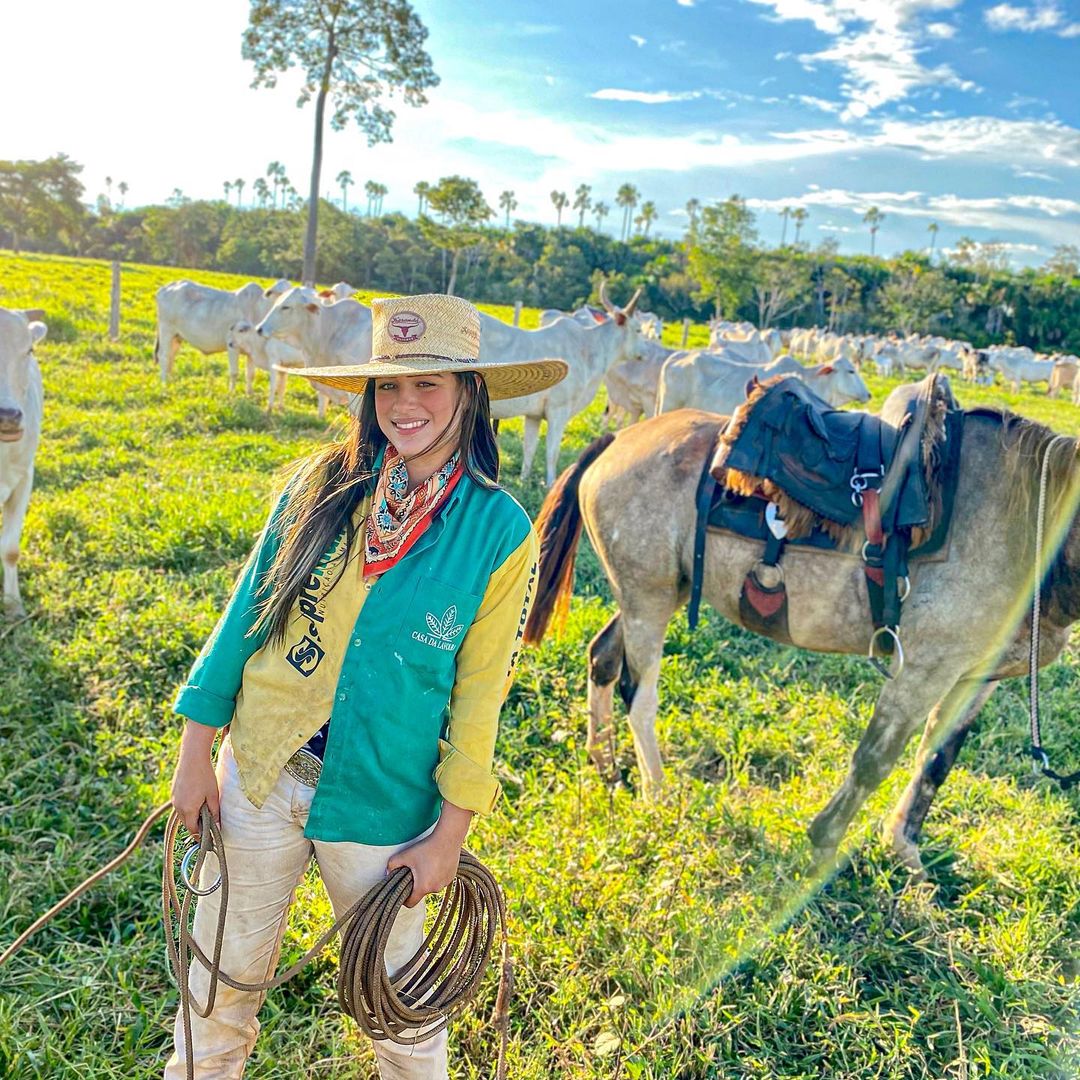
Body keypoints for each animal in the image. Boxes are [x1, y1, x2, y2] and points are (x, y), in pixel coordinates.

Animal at [156, 278, 291, 393]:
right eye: (280, 294)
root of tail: (166, 287)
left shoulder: (252, 351)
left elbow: (250, 374)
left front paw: (250, 394)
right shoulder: (232, 345)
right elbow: (234, 372)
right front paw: (231, 394)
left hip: (176, 337)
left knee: (171, 357)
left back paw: (170, 381)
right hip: (166, 330)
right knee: (164, 357)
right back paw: (164, 384)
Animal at [488, 282, 643, 481]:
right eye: (638, 329)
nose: (643, 353)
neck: (589, 350)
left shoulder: (533, 415)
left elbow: (529, 447)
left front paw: (523, 478)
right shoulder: (558, 409)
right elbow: (552, 451)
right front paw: (550, 482)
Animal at [522, 401, 1080, 872]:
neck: (1025, 524)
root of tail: (617, 439)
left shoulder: (977, 675)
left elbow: (936, 759)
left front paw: (903, 846)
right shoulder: (923, 667)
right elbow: (874, 759)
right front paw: (825, 841)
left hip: (657, 594)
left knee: (602, 659)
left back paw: (607, 768)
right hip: (648, 599)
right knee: (640, 696)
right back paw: (657, 795)